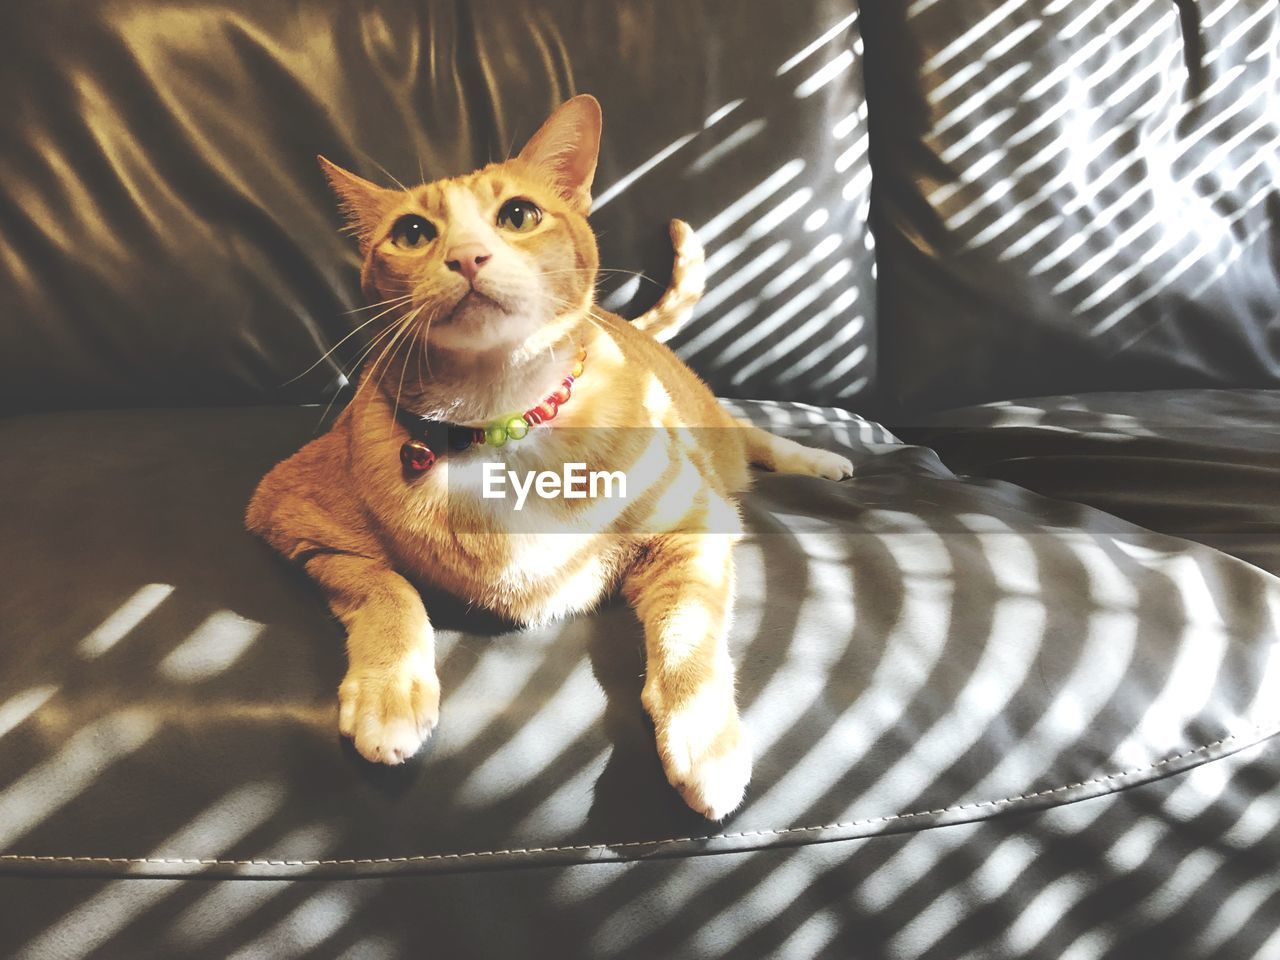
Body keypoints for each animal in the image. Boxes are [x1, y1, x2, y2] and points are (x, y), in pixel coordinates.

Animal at [247, 96, 849, 819]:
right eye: (414, 232)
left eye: (518, 216)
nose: (468, 257)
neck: (497, 425)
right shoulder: (291, 514)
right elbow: (387, 588)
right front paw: (390, 692)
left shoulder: (694, 525)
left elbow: (691, 636)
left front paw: (704, 741)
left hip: (715, 439)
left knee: (748, 434)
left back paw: (817, 457)